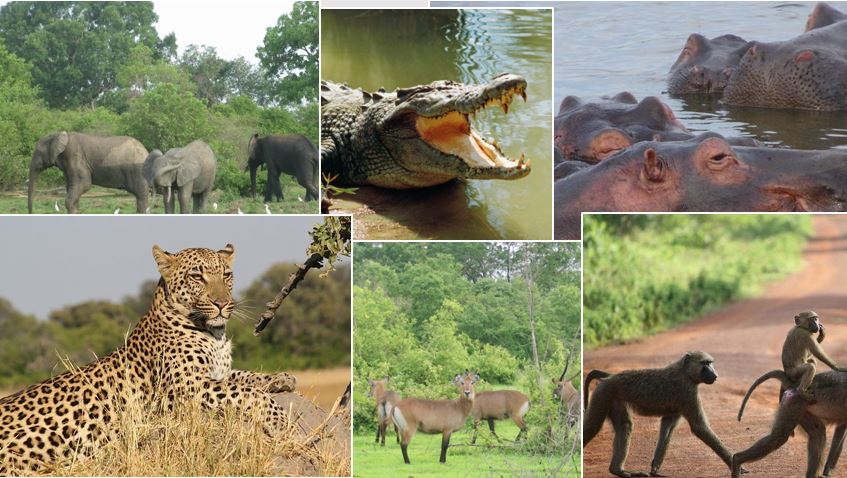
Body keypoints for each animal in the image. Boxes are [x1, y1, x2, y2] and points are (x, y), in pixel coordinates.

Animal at [583, 351, 735, 478]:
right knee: (593, 427)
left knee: (624, 426)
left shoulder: (675, 409)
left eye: (710, 363)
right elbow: (700, 428)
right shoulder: (688, 392)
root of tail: (610, 377)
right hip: (604, 393)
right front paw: (735, 465)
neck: (685, 371)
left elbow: (667, 428)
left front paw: (655, 468)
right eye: (705, 364)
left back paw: (618, 471)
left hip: (614, 399)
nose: (715, 375)